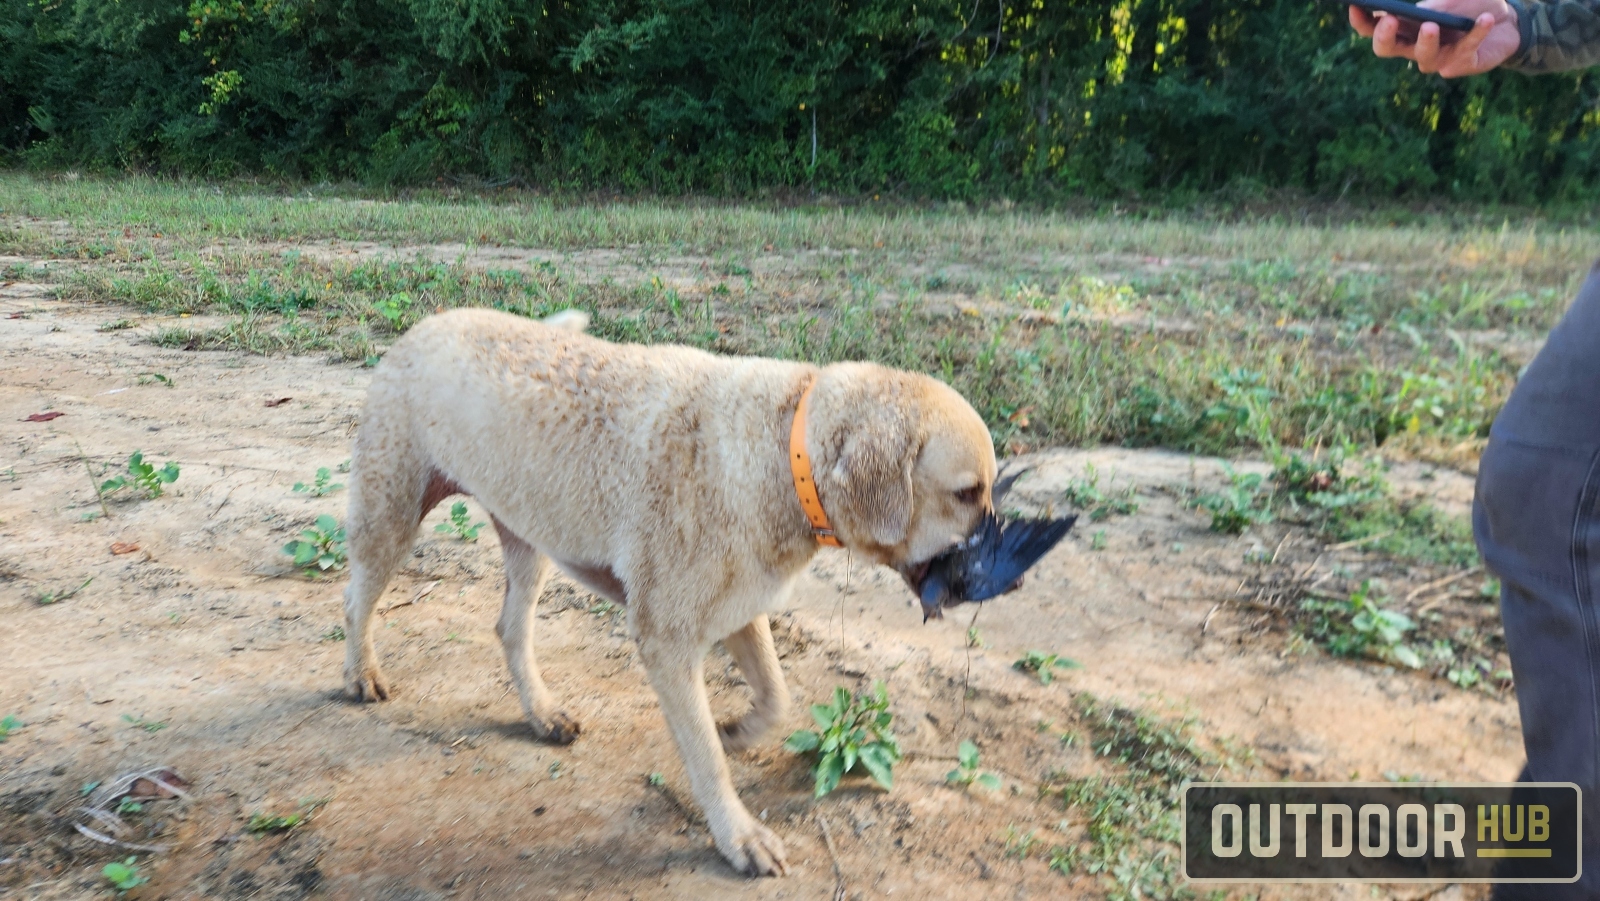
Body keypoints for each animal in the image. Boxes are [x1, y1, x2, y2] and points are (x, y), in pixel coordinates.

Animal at [342, 308, 992, 876]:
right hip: (391, 513)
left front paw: (740, 731)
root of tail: (430, 322)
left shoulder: (742, 608)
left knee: (510, 628)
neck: (783, 449)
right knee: (356, 601)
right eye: (967, 491)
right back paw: (360, 674)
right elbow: (705, 759)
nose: (998, 564)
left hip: (529, 538)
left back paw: (543, 713)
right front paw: (739, 836)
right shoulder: (667, 641)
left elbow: (776, 698)